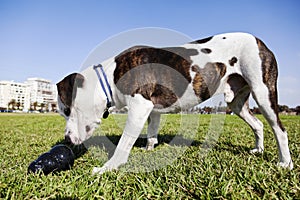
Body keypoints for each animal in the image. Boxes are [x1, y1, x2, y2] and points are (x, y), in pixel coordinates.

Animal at [56, 31, 292, 173]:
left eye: (67, 110)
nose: (66, 139)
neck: (110, 76)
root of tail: (261, 42)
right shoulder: (152, 110)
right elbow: (152, 132)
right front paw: (149, 149)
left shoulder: (140, 106)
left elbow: (124, 143)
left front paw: (109, 167)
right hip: (237, 102)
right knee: (258, 123)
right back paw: (258, 150)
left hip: (263, 93)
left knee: (280, 130)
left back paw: (285, 163)